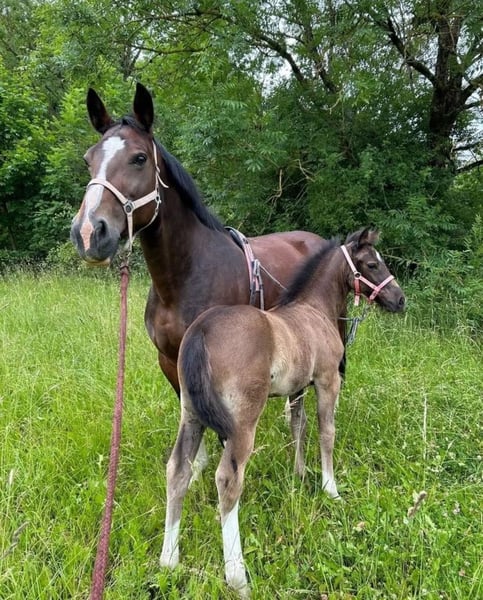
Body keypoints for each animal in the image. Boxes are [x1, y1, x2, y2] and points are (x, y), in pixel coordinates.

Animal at [70, 82, 343, 474]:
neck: (181, 281)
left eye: (139, 158)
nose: (89, 233)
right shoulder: (171, 360)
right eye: (88, 160)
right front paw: (195, 465)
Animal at [160, 228, 405, 597]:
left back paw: (169, 561)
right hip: (242, 422)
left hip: (190, 414)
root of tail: (202, 330)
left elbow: (297, 426)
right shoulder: (327, 381)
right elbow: (326, 432)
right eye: (373, 264)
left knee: (178, 470)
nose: (399, 299)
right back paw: (237, 577)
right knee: (227, 480)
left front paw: (299, 473)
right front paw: (330, 488)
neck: (315, 310)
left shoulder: (297, 387)